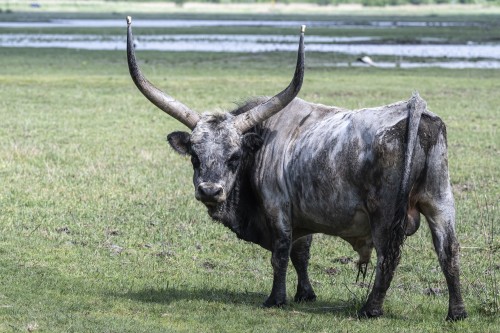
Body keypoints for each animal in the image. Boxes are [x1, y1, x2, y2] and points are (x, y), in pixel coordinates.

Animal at [126, 16, 468, 320]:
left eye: (234, 156)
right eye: (195, 156)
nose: (210, 190)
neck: (263, 141)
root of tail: (414, 109)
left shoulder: (278, 206)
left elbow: (280, 253)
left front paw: (276, 299)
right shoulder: (303, 212)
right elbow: (301, 253)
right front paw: (306, 294)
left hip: (384, 213)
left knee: (388, 256)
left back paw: (370, 309)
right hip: (440, 201)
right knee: (448, 251)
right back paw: (457, 312)